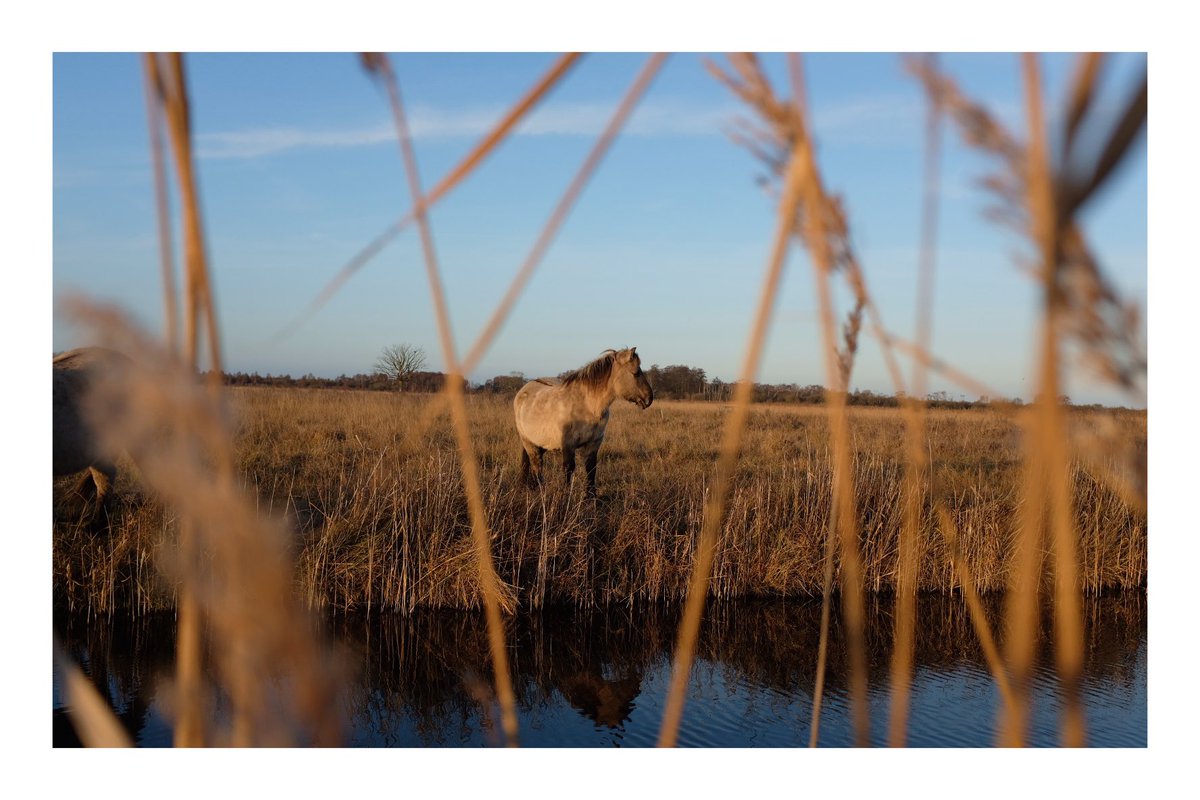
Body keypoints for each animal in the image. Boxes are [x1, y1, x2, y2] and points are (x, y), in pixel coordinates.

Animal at [511, 347, 652, 496]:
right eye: (636, 373)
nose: (649, 398)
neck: (588, 406)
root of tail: (524, 390)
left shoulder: (594, 443)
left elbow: (591, 469)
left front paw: (591, 497)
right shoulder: (568, 444)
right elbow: (568, 468)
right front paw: (566, 496)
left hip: (541, 443)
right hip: (528, 442)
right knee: (536, 464)